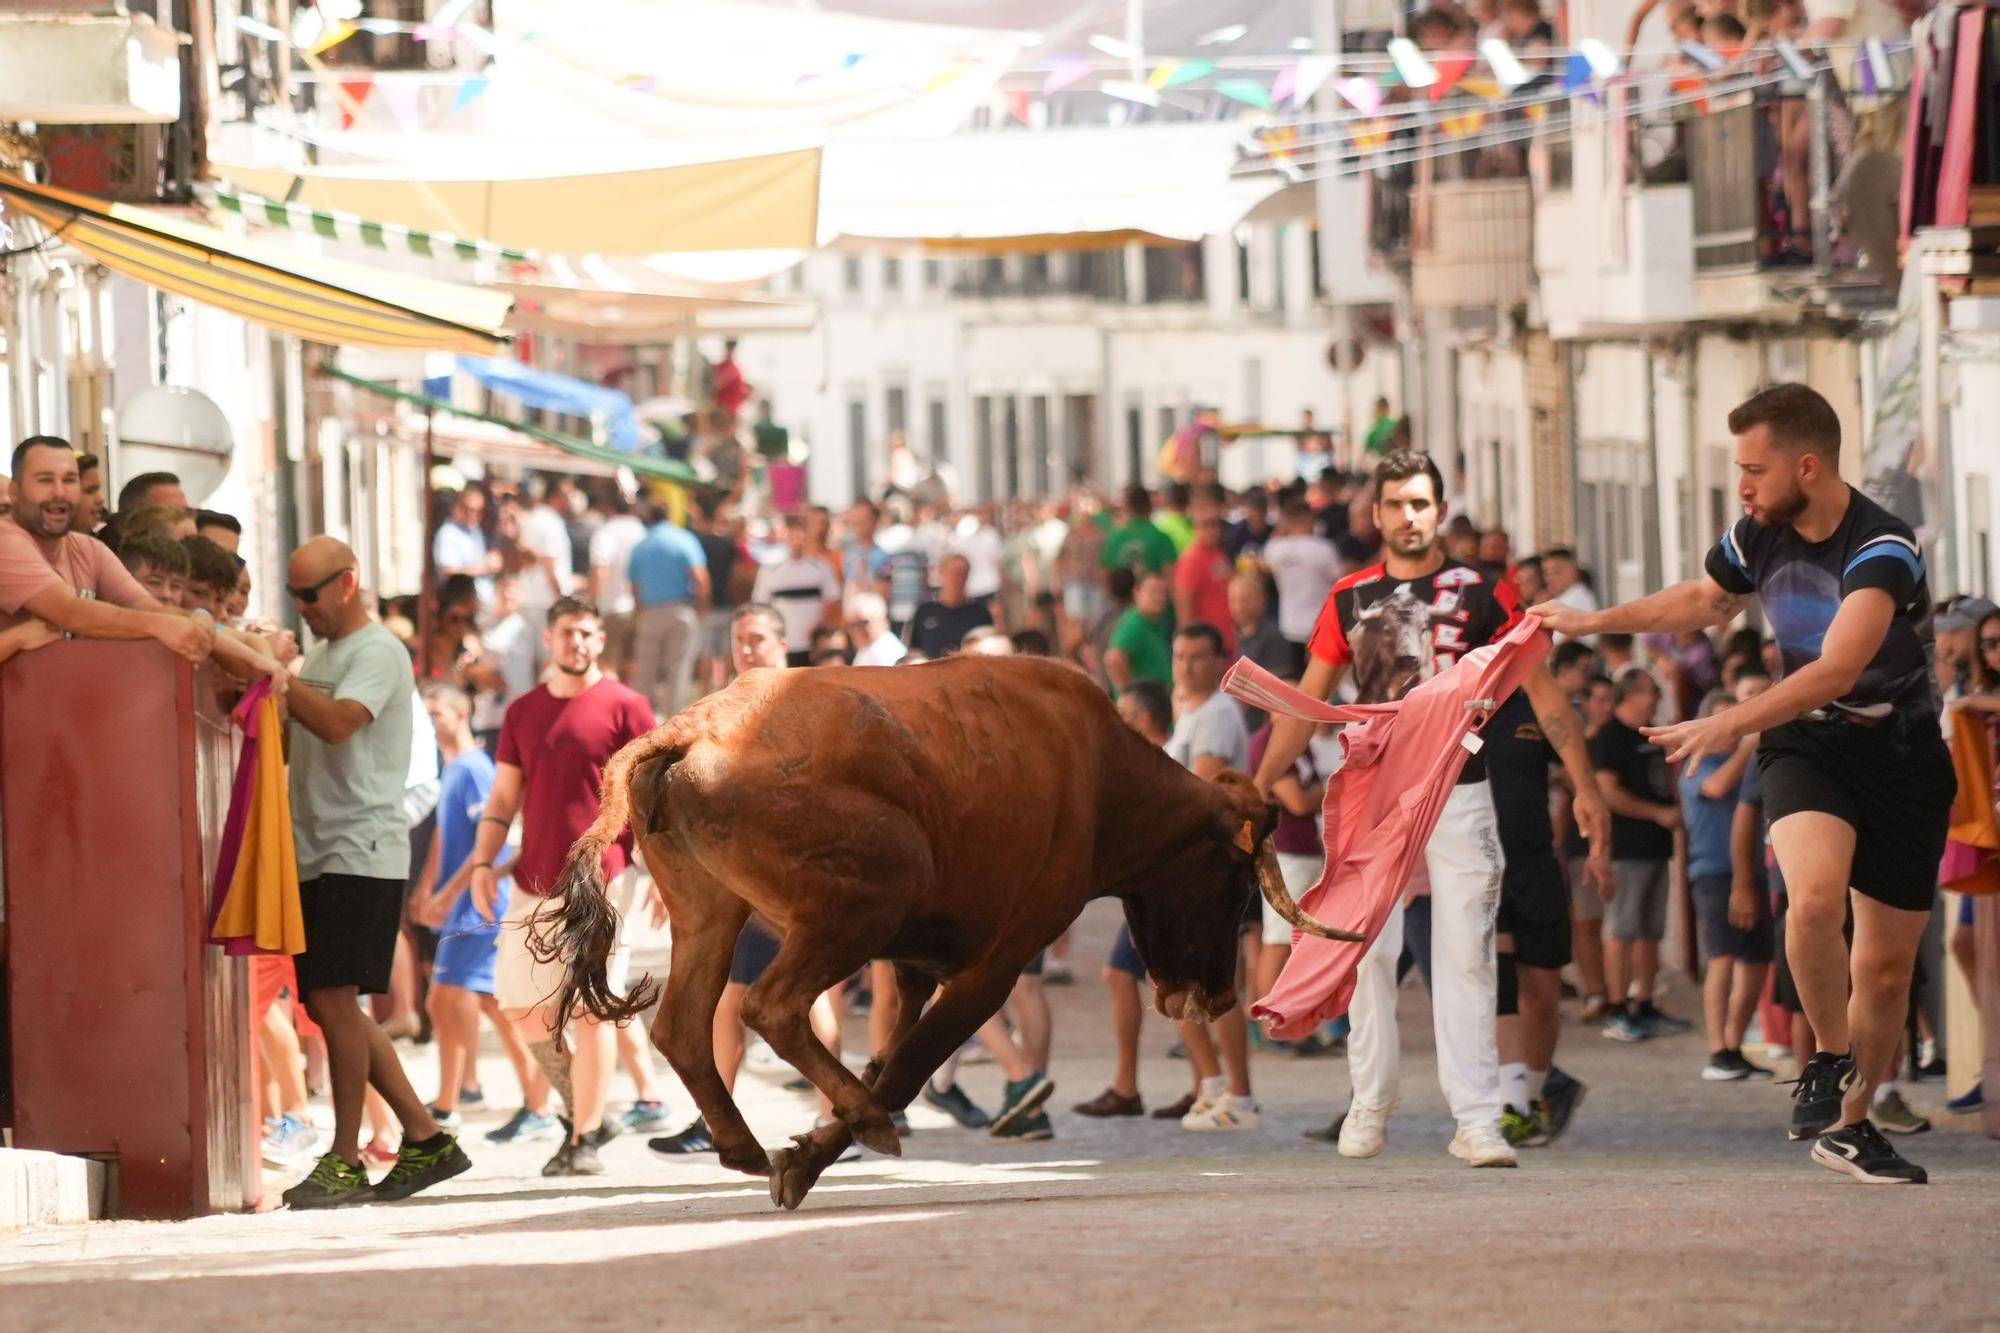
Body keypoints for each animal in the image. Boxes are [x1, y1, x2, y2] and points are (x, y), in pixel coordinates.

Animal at [532, 652, 1352, 1200]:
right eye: (1236, 884)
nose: (1218, 996)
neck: (1100, 774)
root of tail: (695, 729)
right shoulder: (995, 960)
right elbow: (907, 1067)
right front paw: (823, 1147)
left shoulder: (914, 965)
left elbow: (890, 1054)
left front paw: (811, 1146)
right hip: (864, 901)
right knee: (770, 1006)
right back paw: (842, 1127)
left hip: (711, 913)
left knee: (684, 1025)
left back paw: (741, 1144)